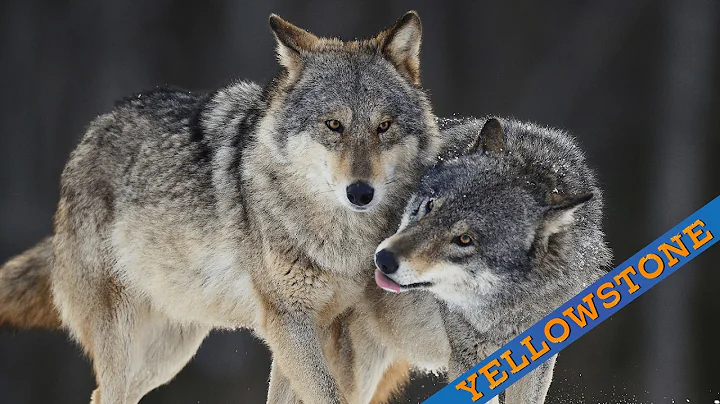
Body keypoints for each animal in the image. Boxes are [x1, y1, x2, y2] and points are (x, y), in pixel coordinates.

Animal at [0, 11, 441, 404]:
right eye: (334, 125)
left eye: (384, 126)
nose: (361, 193)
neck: (336, 235)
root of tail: (91, 133)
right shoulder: (288, 321)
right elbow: (328, 395)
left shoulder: (311, 327)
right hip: (125, 339)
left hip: (171, 351)